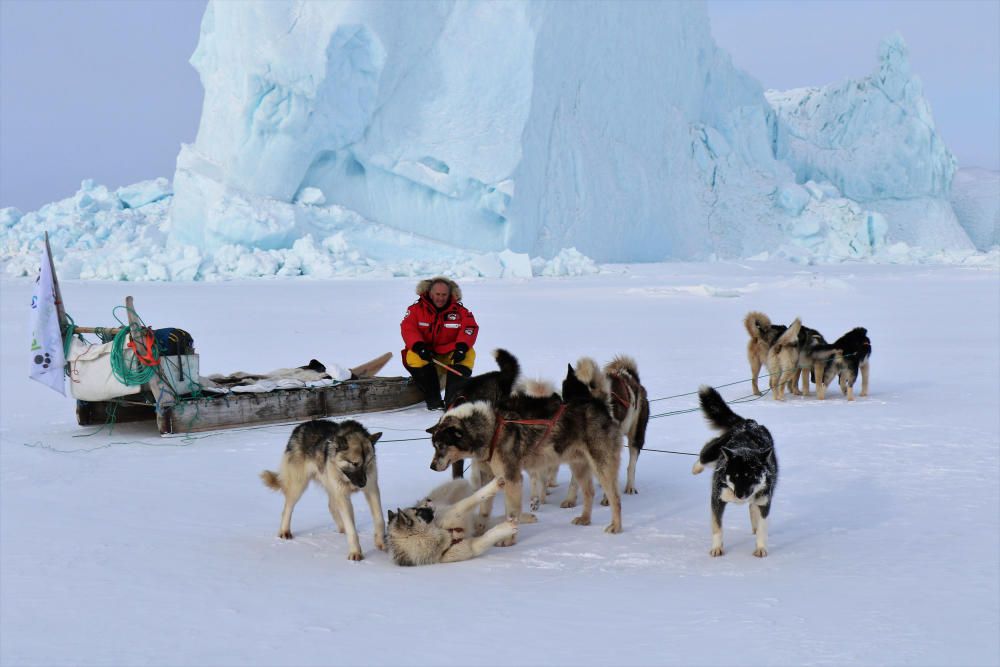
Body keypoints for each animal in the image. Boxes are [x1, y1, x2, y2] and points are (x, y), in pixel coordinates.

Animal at [260, 420, 384, 560]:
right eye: (354, 463)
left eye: (368, 463)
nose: (363, 484)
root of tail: (300, 426)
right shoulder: (343, 496)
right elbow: (352, 529)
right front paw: (355, 552)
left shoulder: (372, 489)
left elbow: (379, 519)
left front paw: (381, 542)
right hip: (299, 486)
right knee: (287, 508)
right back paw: (285, 531)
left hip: (329, 485)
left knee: (331, 506)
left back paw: (342, 528)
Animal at [386, 478, 520, 568]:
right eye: (417, 511)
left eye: (415, 508)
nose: (428, 499)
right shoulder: (469, 547)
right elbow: (488, 536)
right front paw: (506, 528)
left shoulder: (455, 510)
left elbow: (474, 498)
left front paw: (494, 485)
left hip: (461, 484)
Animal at [692, 386, 776, 560]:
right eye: (735, 476)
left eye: (752, 476)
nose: (740, 495)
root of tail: (749, 423)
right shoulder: (717, 500)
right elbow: (717, 527)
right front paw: (717, 548)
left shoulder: (765, 501)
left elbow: (762, 527)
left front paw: (760, 548)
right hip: (714, 450)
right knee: (703, 455)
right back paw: (696, 468)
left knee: (753, 509)